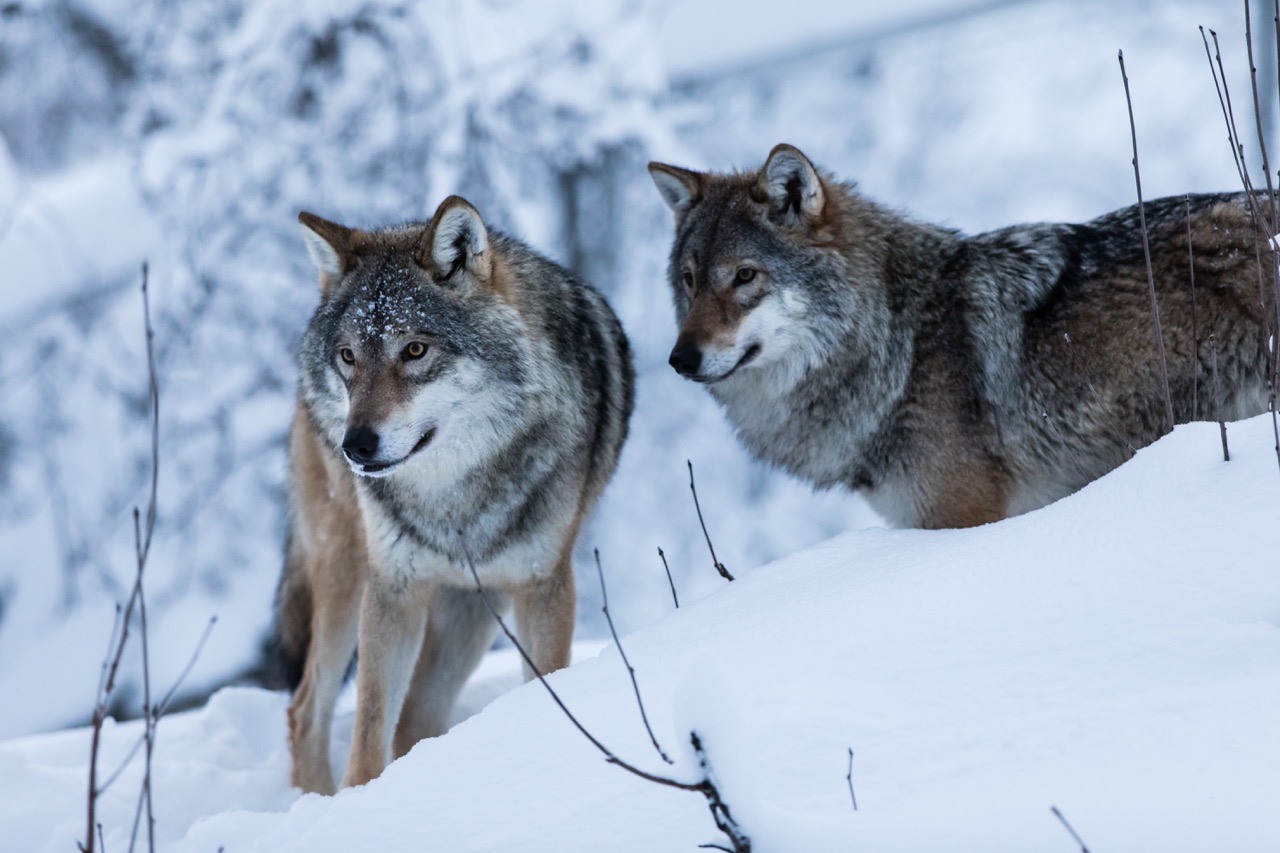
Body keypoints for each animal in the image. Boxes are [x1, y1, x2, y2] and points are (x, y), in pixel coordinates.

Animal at [276, 195, 634, 793]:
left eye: (414, 350)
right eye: (349, 356)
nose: (355, 445)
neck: (455, 497)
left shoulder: (543, 585)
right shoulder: (393, 588)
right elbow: (369, 731)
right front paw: (360, 797)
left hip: (473, 610)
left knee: (417, 719)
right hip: (348, 572)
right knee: (306, 711)